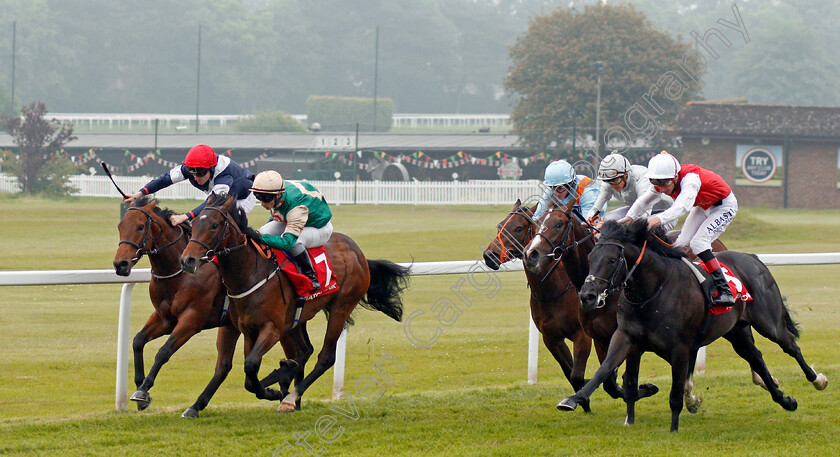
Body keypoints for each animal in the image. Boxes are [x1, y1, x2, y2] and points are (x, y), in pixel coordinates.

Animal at [180, 191, 410, 412]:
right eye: (194, 223)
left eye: (214, 225)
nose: (187, 260)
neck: (252, 273)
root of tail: (358, 253)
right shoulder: (249, 329)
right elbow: (249, 374)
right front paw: (274, 384)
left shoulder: (272, 328)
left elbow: (251, 364)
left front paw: (274, 390)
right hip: (298, 318)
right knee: (304, 350)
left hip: (341, 307)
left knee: (326, 357)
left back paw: (291, 397)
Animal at [556, 219, 828, 430]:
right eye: (591, 256)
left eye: (613, 259)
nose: (587, 296)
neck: (652, 290)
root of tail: (752, 258)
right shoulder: (626, 338)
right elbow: (607, 374)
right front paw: (574, 401)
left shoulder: (680, 348)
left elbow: (675, 392)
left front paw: (674, 429)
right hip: (736, 331)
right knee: (756, 358)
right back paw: (785, 400)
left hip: (768, 322)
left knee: (790, 345)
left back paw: (817, 379)